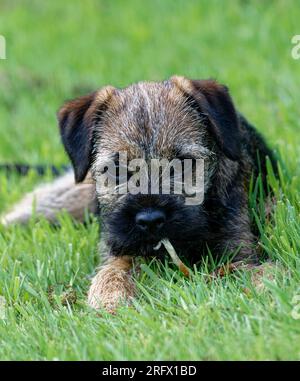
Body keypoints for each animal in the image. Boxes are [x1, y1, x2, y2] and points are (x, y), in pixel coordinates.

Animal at [1, 75, 278, 312]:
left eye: (183, 163)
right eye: (117, 169)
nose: (150, 220)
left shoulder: (240, 250)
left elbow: (246, 268)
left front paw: (267, 284)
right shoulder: (120, 249)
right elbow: (111, 271)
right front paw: (109, 301)